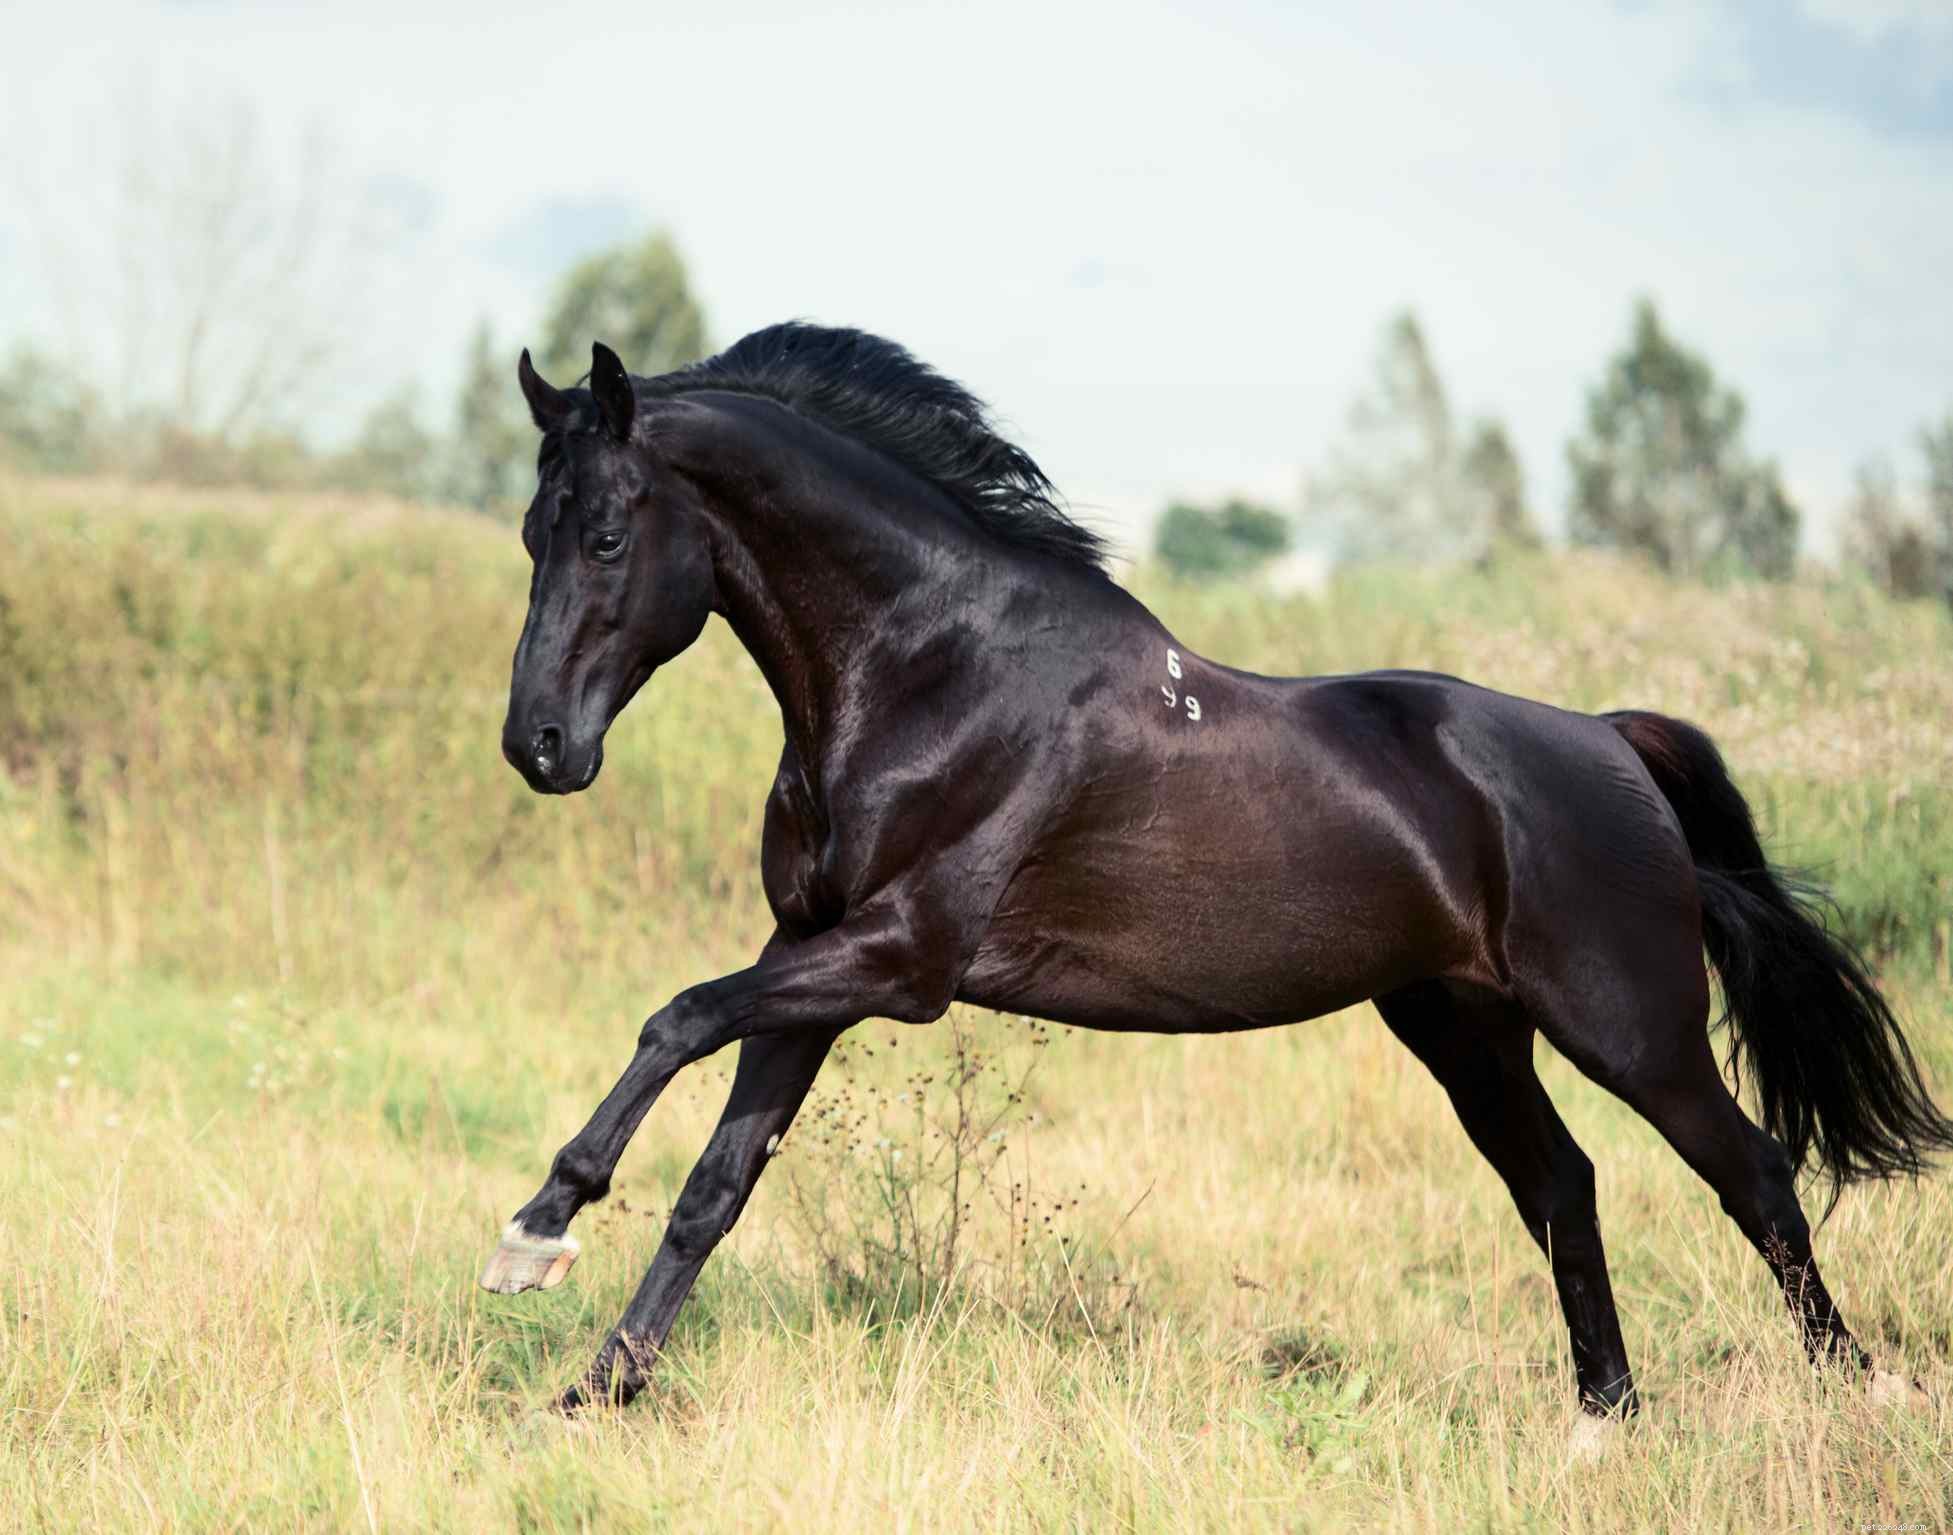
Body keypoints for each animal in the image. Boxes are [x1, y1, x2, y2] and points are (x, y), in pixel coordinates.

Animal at [480, 322, 1951, 1422]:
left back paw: (1854, 1392)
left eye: (605, 535)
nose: (538, 746)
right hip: (1464, 1028)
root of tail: (1608, 737)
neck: (930, 671)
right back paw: (1604, 1418)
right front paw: (596, 1387)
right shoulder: (811, 958)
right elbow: (716, 1184)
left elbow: (671, 1016)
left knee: (1754, 1172)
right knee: (1564, 1186)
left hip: (1628, 1023)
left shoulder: (898, 959)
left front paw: (538, 1227)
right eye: (529, 534)